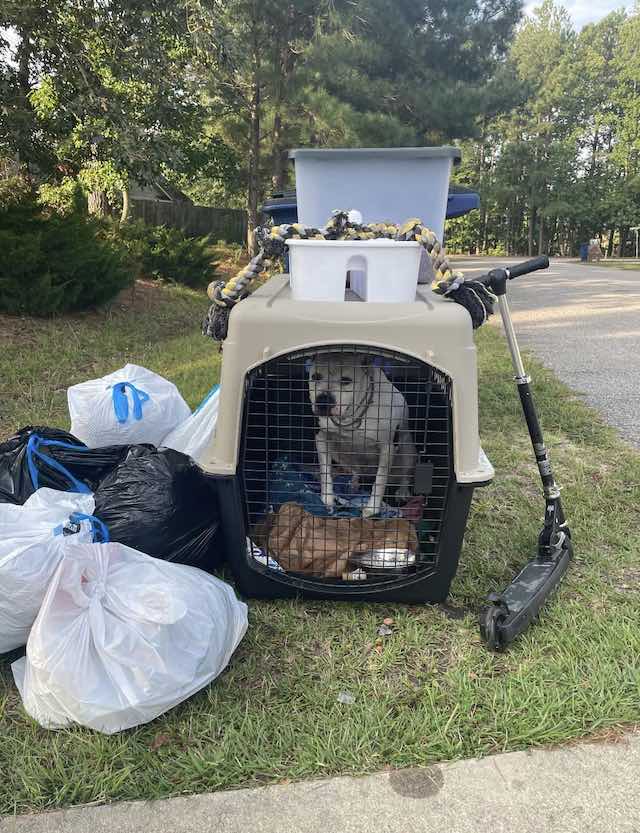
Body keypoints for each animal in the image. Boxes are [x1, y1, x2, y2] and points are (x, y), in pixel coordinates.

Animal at [308, 350, 418, 516]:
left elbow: (379, 480)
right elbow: (325, 472)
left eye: (346, 381)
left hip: (407, 450)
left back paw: (403, 491)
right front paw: (327, 500)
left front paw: (372, 508)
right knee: (355, 470)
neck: (350, 416)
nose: (323, 400)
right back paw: (354, 483)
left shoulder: (387, 448)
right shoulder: (322, 438)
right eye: (315, 377)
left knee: (405, 473)